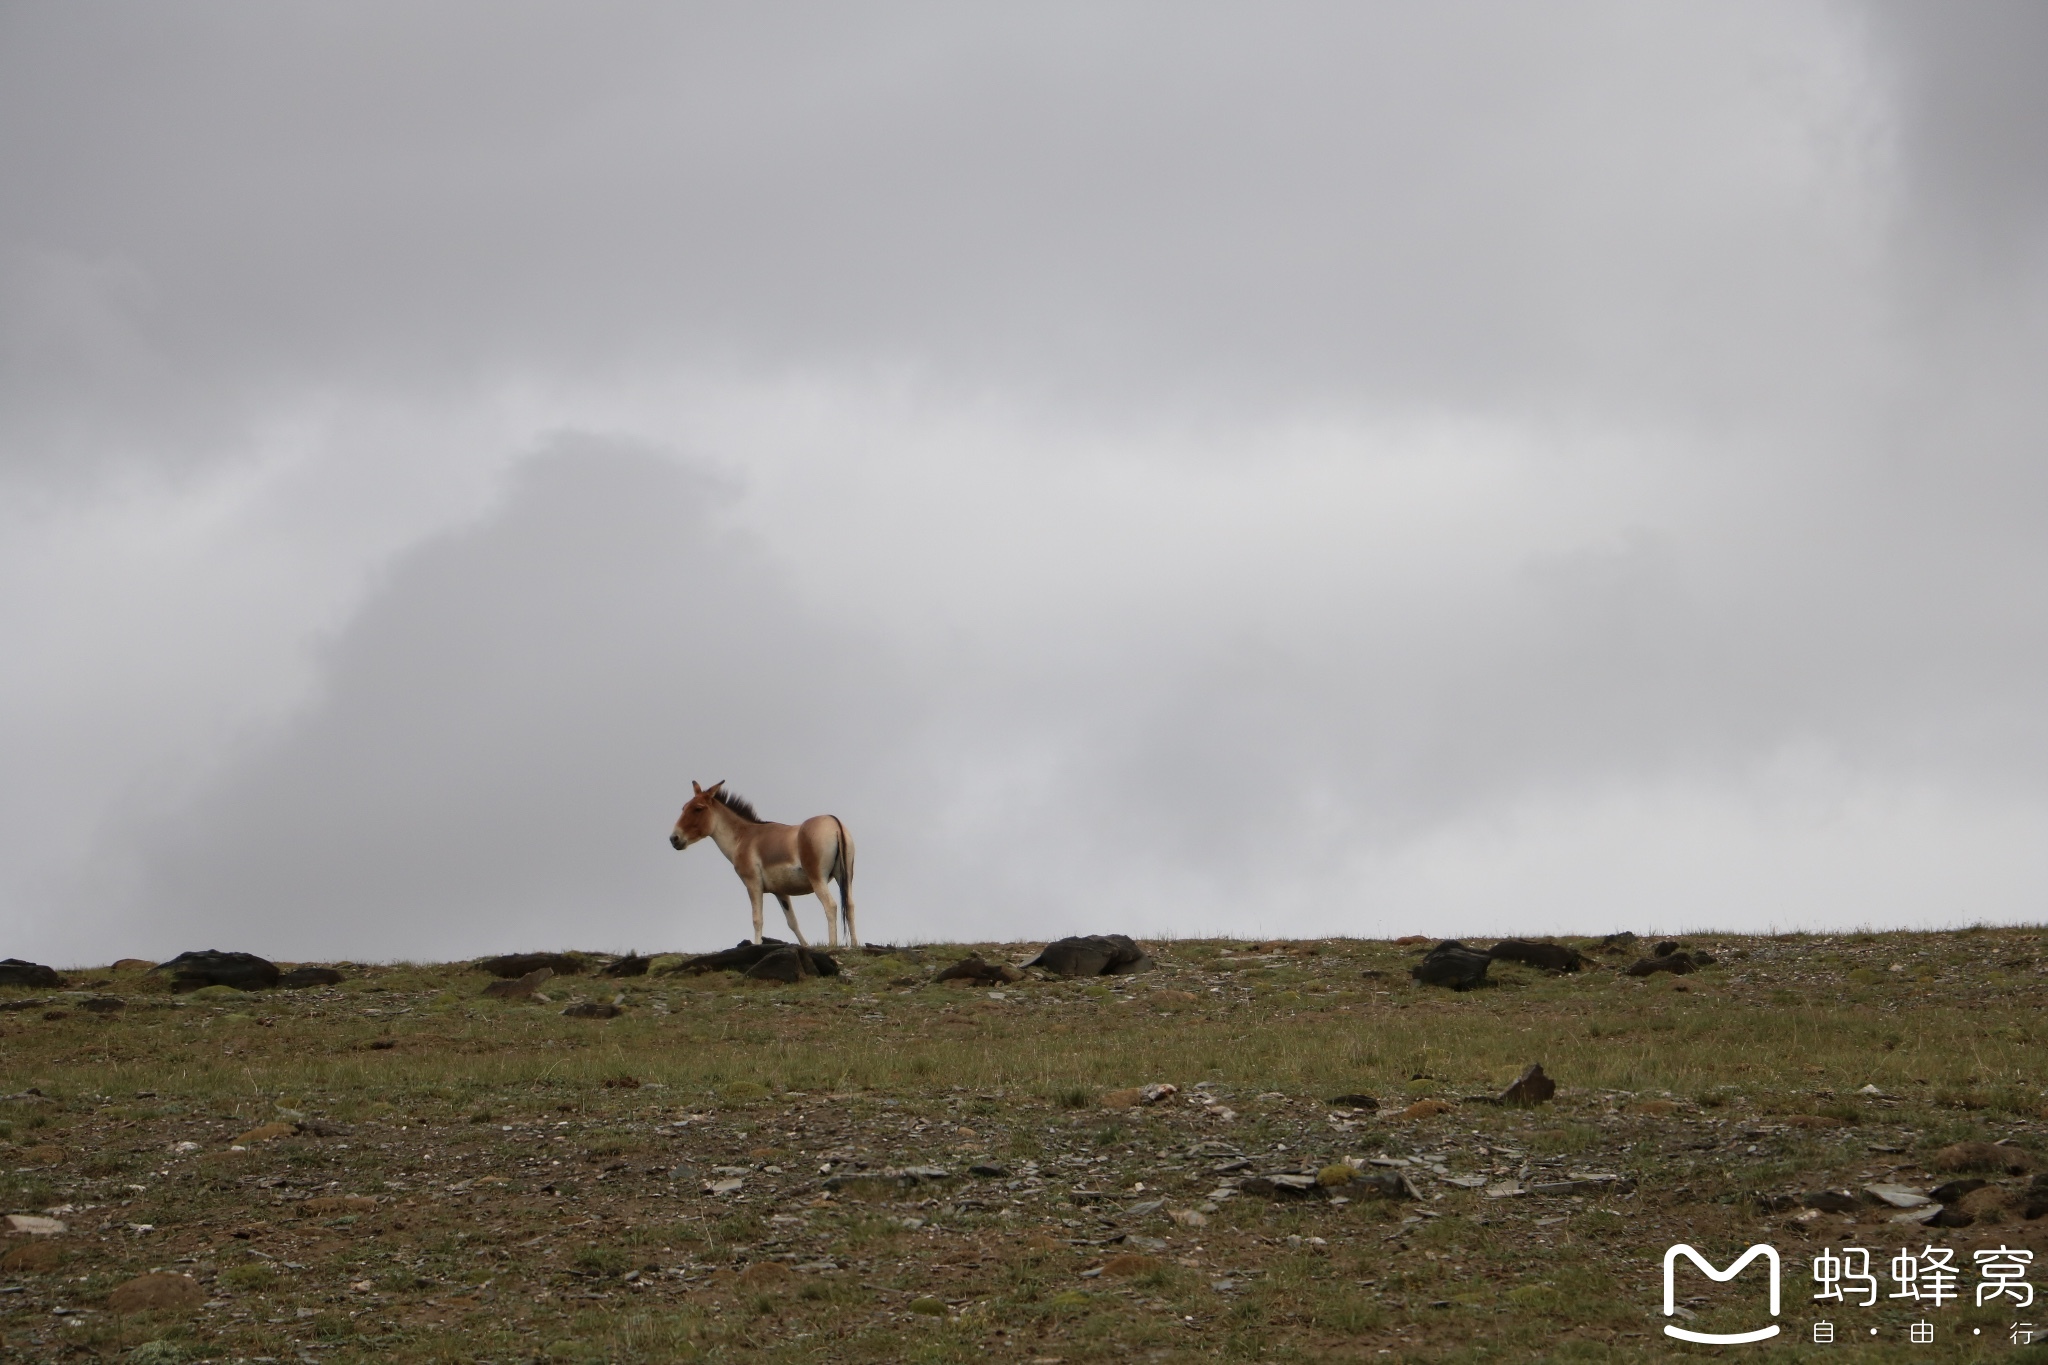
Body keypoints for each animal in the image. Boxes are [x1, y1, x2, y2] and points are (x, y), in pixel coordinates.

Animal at [671, 777, 856, 949]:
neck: (743, 837)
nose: (674, 838)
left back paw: (832, 945)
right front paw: (805, 946)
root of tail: (834, 822)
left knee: (830, 905)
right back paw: (855, 945)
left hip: (817, 878)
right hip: (844, 876)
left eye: (698, 808)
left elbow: (757, 919)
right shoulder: (780, 891)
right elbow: (792, 922)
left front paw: (757, 945)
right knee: (850, 905)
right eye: (683, 807)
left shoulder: (753, 884)